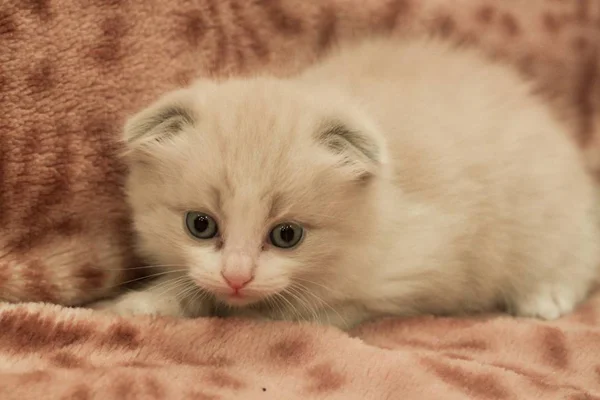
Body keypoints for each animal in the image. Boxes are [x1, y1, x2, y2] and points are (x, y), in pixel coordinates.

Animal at [92, 36, 600, 330]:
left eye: (287, 235)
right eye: (200, 225)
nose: (237, 277)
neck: (378, 212)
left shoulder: (412, 269)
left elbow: (297, 313)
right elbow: (192, 287)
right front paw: (138, 306)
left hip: (546, 221)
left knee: (577, 259)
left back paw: (545, 297)